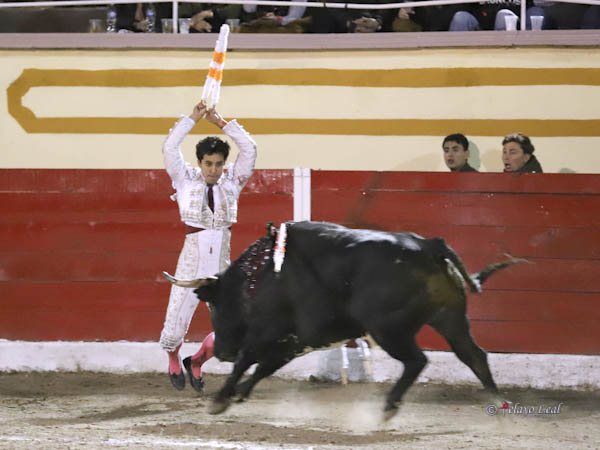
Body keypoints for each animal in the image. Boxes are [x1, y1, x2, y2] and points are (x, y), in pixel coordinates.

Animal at [163, 221, 523, 420]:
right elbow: (263, 368)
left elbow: (247, 362)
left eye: (214, 306)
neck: (260, 276)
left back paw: (389, 406)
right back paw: (499, 403)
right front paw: (236, 394)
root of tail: (429, 246)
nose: (222, 350)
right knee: (474, 356)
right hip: (449, 318)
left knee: (417, 360)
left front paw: (221, 398)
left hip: (388, 328)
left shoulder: (268, 334)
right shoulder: (295, 341)